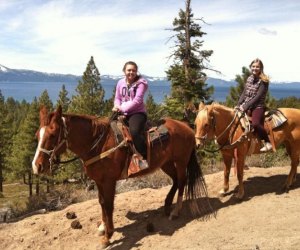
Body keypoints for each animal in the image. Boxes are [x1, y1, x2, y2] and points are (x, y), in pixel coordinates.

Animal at [32, 106, 211, 248]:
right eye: (37, 135)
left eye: (53, 134)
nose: (37, 166)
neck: (97, 144)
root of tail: (187, 127)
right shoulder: (99, 181)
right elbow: (101, 203)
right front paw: (103, 227)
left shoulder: (109, 181)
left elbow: (108, 205)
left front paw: (108, 236)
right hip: (165, 163)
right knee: (175, 181)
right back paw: (167, 205)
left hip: (180, 161)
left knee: (181, 181)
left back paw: (175, 211)